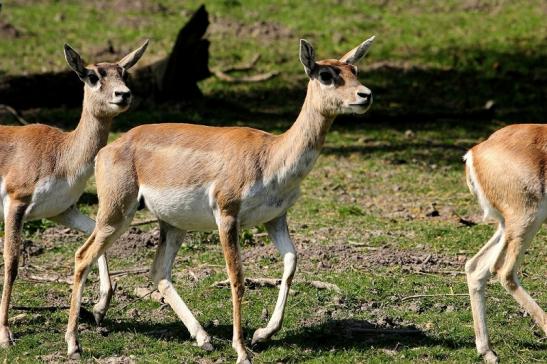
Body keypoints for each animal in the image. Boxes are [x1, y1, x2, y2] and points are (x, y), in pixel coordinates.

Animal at [0, 38, 149, 346]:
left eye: (124, 73)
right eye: (92, 76)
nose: (123, 94)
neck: (61, 154)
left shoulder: (62, 211)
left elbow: (95, 235)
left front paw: (100, 308)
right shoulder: (16, 203)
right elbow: (12, 262)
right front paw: (5, 333)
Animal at [63, 35, 376, 362]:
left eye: (353, 69)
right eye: (326, 75)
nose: (365, 95)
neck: (271, 155)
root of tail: (109, 149)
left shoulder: (275, 218)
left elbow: (291, 263)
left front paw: (262, 335)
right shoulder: (227, 214)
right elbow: (237, 278)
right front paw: (242, 350)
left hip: (174, 224)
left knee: (159, 271)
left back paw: (204, 338)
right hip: (117, 213)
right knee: (83, 256)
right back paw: (74, 344)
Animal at [464, 123, 547, 362]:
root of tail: (476, 150)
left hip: (506, 225)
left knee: (476, 267)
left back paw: (487, 351)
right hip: (528, 218)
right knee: (504, 271)